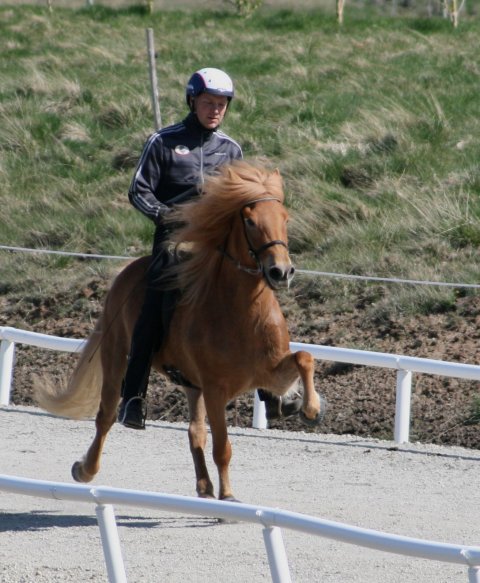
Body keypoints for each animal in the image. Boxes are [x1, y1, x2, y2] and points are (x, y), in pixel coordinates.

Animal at [35, 161, 324, 502]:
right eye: (251, 222)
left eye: (285, 219)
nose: (281, 271)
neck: (241, 312)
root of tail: (128, 271)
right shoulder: (215, 389)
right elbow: (223, 447)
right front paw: (229, 497)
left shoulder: (269, 374)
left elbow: (304, 357)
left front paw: (310, 408)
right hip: (117, 355)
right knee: (106, 416)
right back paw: (86, 469)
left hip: (190, 384)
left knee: (194, 432)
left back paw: (204, 487)